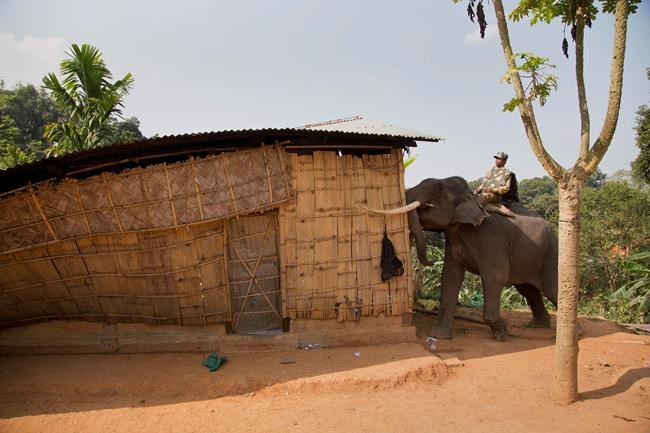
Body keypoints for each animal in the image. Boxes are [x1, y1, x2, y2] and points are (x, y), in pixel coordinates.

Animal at [368, 176, 558, 341]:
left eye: (439, 188)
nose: (431, 261)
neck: (472, 197)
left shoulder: (493, 241)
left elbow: (495, 277)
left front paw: (503, 333)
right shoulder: (454, 241)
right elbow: (450, 276)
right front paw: (439, 335)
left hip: (551, 254)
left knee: (550, 289)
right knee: (528, 290)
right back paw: (537, 326)